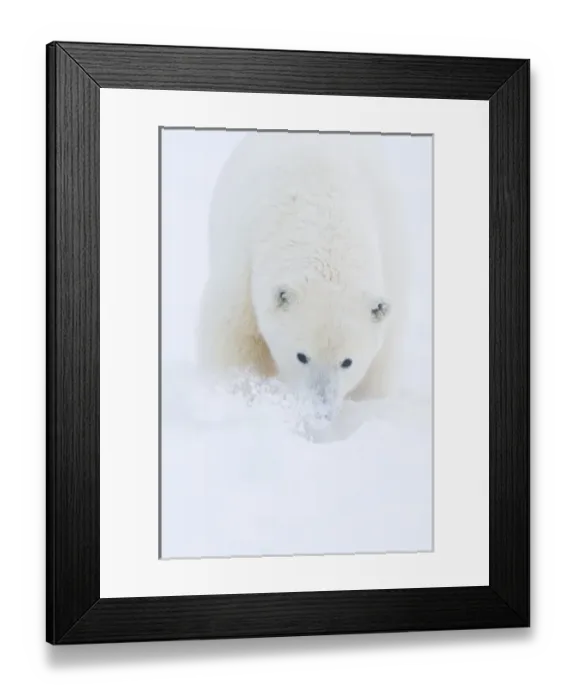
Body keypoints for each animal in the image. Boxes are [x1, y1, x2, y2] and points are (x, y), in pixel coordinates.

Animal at [196, 131, 407, 420]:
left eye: (347, 361)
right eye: (301, 356)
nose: (320, 410)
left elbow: (380, 361)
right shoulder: (243, 259)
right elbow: (234, 334)